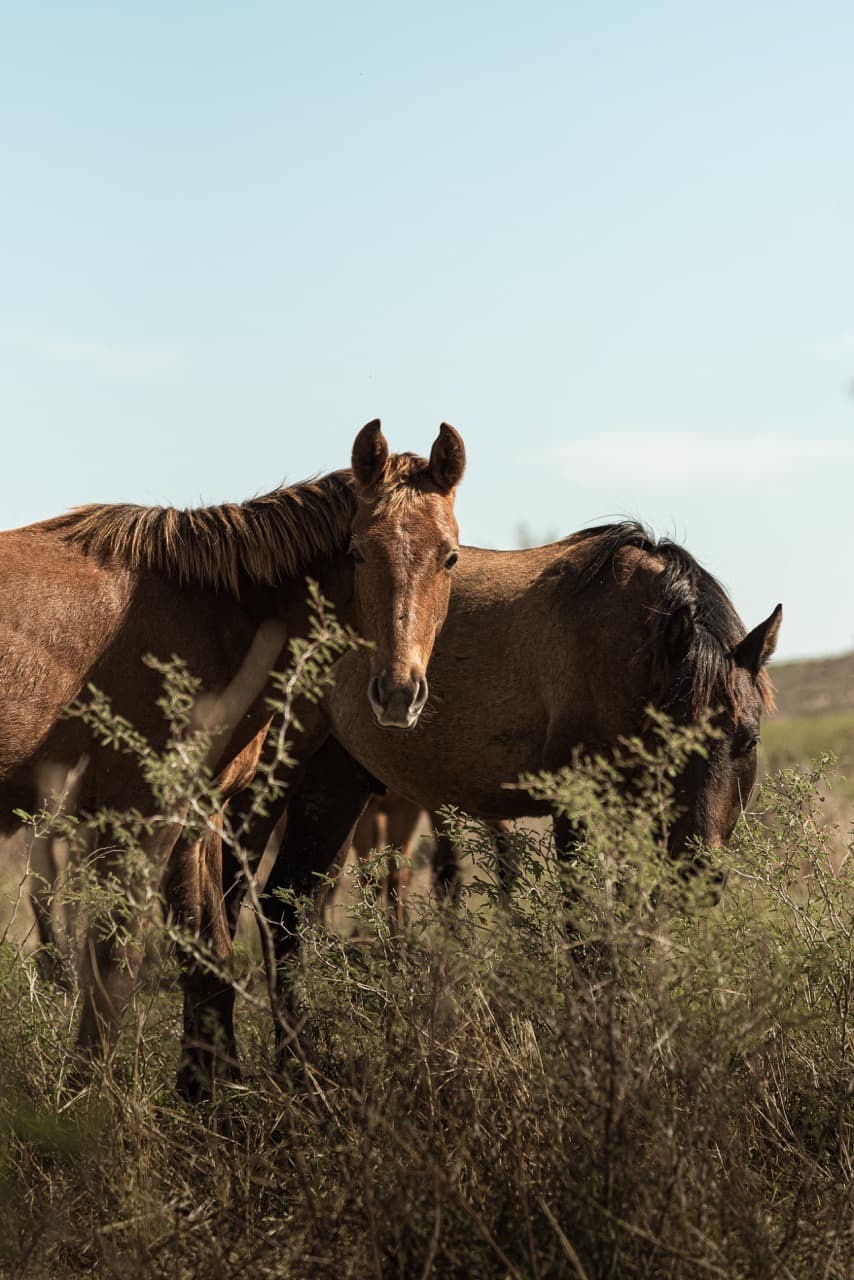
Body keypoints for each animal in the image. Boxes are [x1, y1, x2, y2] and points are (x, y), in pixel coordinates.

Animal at [0, 419, 466, 1092]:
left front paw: (206, 1093)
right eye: (357, 553)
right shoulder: (141, 817)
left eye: (449, 556)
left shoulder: (199, 818)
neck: (206, 612)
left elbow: (209, 957)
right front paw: (89, 1099)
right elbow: (115, 965)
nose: (398, 692)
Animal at [236, 521, 780, 1062]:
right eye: (667, 743)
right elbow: (586, 938)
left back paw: (304, 1063)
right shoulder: (576, 812)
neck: (619, 647)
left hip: (335, 785)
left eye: (749, 741)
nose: (700, 872)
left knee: (286, 912)